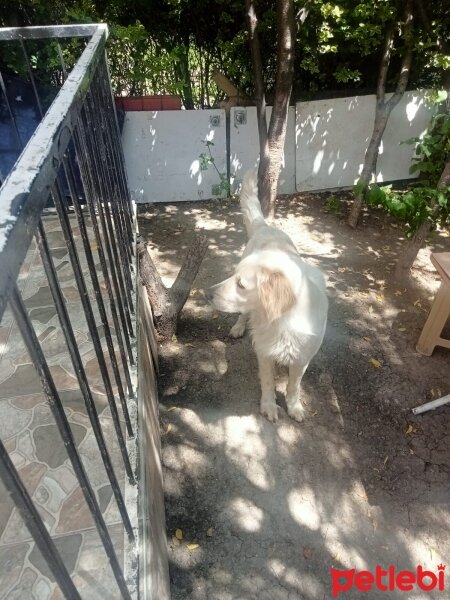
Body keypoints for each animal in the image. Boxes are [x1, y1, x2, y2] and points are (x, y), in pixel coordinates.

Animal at [207, 169, 326, 422]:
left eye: (241, 284)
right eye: (234, 277)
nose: (206, 294)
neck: (282, 321)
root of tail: (265, 226)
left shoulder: (303, 358)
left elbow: (294, 386)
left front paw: (294, 407)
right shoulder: (264, 352)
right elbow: (269, 382)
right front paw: (269, 406)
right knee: (243, 315)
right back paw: (239, 327)